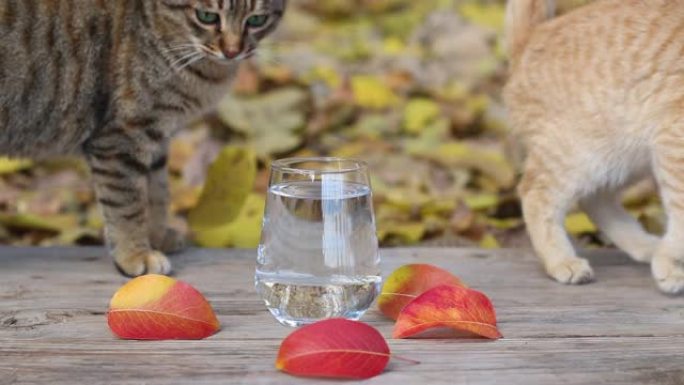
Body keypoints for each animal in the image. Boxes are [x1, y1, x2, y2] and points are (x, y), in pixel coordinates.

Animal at [0, 0, 286, 276]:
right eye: (206, 16)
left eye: (257, 20)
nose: (232, 50)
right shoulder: (121, 139)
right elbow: (127, 203)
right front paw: (134, 254)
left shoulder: (156, 138)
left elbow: (157, 192)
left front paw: (155, 236)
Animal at [502, 0, 684, 294]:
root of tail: (533, 35)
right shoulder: (675, 140)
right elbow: (681, 215)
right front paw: (670, 263)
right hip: (580, 157)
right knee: (534, 194)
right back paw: (561, 260)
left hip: (628, 159)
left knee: (595, 199)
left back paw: (646, 246)